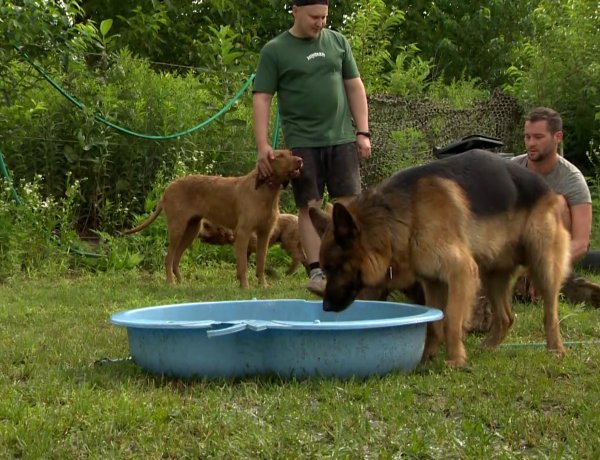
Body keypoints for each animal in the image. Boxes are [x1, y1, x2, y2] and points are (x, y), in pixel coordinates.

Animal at [126, 150, 304, 288]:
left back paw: (181, 283)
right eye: (279, 155)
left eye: (290, 153)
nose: (300, 160)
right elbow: (243, 265)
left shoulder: (264, 234)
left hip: (191, 230)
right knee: (168, 257)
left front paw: (263, 285)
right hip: (178, 229)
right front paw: (245, 287)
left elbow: (261, 262)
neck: (265, 191)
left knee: (176, 258)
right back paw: (170, 283)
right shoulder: (243, 232)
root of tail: (167, 189)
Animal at [312, 151, 568, 366]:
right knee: (506, 318)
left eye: (335, 268)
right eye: (324, 270)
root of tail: (548, 188)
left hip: (543, 267)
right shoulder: (432, 281)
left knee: (550, 314)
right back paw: (486, 348)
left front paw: (455, 360)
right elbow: (434, 323)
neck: (401, 220)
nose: (325, 308)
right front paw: (426, 358)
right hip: (491, 275)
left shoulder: (461, 272)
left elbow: (452, 319)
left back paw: (556, 349)